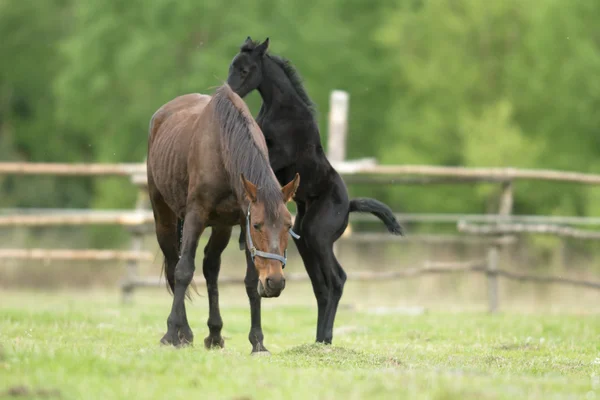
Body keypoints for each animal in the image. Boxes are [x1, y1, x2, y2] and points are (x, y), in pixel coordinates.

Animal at [146, 83, 300, 350]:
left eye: (288, 226)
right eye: (257, 225)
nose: (275, 281)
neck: (223, 148)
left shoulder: (239, 220)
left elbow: (250, 281)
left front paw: (257, 341)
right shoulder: (196, 216)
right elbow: (184, 270)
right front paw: (171, 334)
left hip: (221, 227)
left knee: (210, 267)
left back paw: (215, 333)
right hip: (164, 216)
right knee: (175, 263)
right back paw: (183, 332)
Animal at [227, 36, 406, 352]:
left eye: (245, 70)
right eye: (231, 66)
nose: (228, 91)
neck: (282, 110)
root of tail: (349, 206)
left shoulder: (278, 157)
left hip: (320, 238)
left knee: (337, 280)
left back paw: (326, 338)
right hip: (306, 241)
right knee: (321, 287)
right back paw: (320, 339)